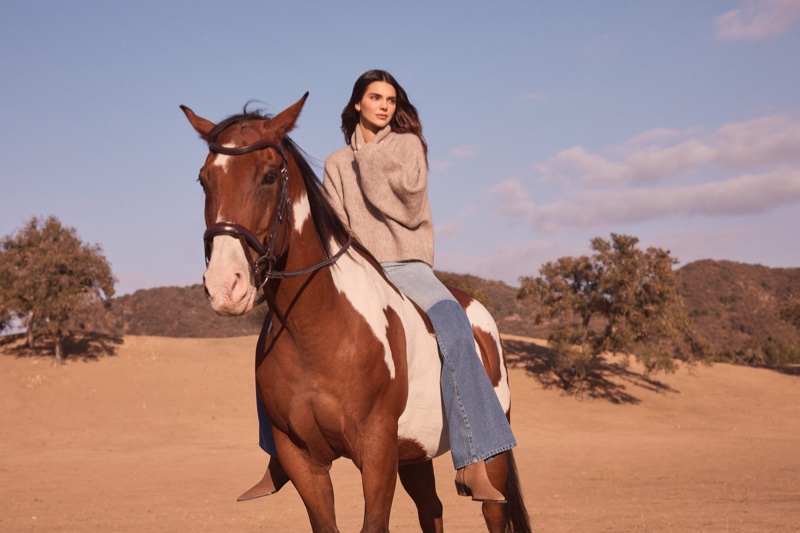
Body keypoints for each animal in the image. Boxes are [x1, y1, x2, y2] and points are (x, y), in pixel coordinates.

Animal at [181, 95, 532, 532]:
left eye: (268, 176)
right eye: (204, 180)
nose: (226, 286)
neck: (315, 331)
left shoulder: (377, 451)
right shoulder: (301, 458)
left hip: (490, 462)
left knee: (492, 508)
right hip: (414, 454)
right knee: (430, 509)